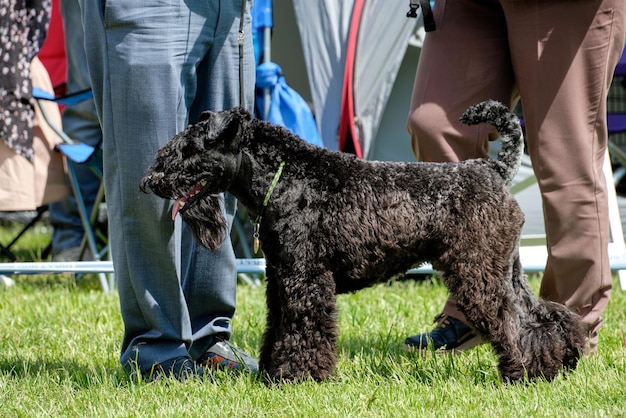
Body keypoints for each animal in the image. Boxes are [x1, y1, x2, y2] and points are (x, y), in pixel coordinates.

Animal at [140, 101, 584, 386]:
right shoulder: (282, 278)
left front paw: (298, 377)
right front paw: (272, 373)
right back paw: (556, 363)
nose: (152, 180)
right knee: (543, 315)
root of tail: (492, 169)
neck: (287, 176)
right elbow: (279, 326)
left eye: (189, 148)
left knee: (513, 322)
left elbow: (304, 327)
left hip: (479, 275)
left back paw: (522, 373)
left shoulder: (305, 279)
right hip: (506, 269)